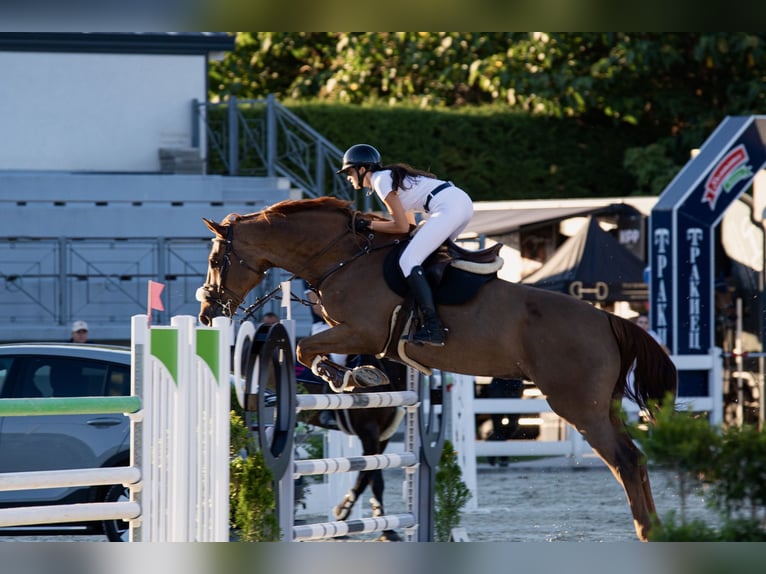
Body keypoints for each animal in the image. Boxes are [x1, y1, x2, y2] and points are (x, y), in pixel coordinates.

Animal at [296, 354, 408, 541]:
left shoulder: (382, 437)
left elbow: (375, 479)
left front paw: (386, 528)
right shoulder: (369, 431)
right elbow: (368, 475)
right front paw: (343, 511)